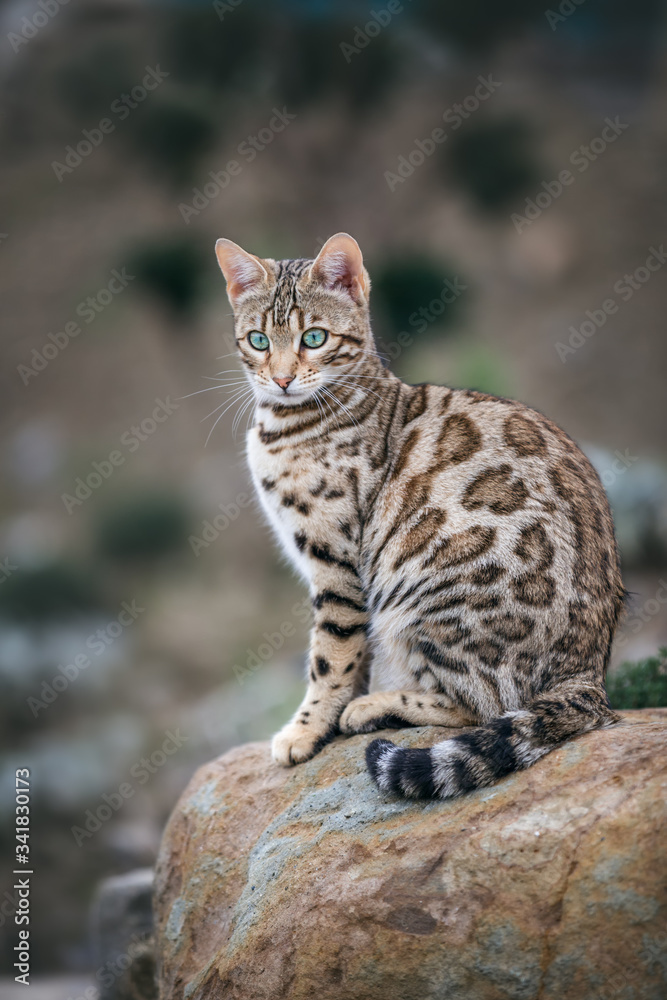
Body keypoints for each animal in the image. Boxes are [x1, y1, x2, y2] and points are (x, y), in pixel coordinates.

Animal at [214, 230, 628, 800]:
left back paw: (374, 708)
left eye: (314, 337)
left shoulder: (336, 565)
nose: (280, 379)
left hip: (425, 601)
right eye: (257, 340)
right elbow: (355, 657)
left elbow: (330, 658)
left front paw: (306, 728)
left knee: (487, 705)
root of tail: (589, 676)